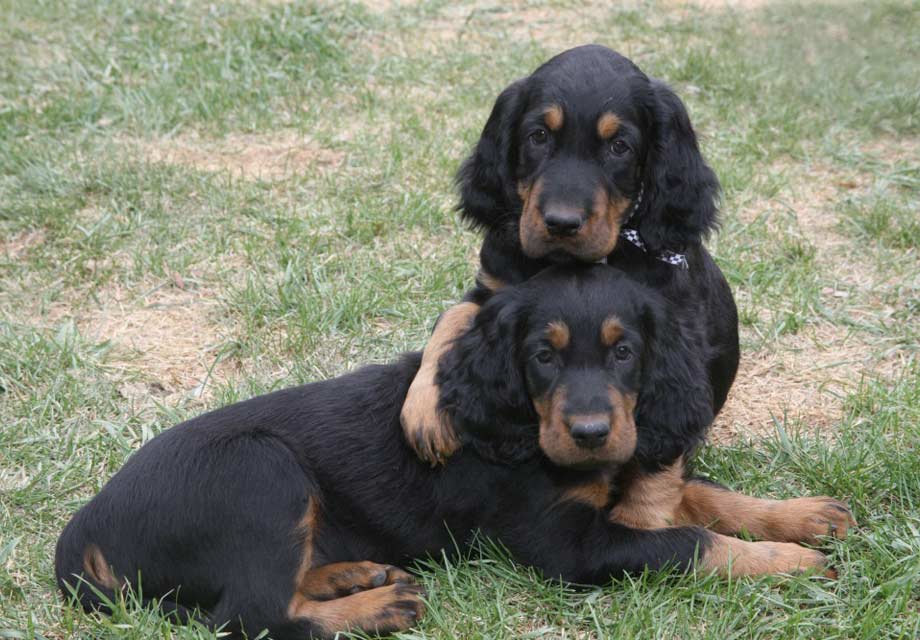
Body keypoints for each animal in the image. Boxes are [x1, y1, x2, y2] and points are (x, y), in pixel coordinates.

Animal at [55, 266, 856, 640]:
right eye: (542, 356)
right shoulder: (570, 545)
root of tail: (84, 526)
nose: (590, 432)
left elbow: (705, 497)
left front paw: (806, 517)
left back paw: (353, 574)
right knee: (251, 611)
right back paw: (379, 605)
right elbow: (689, 541)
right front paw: (792, 563)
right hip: (260, 470)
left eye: (625, 351)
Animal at [402, 43, 740, 476]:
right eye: (538, 136)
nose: (561, 223)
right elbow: (451, 320)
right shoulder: (493, 289)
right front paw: (424, 412)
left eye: (619, 147)